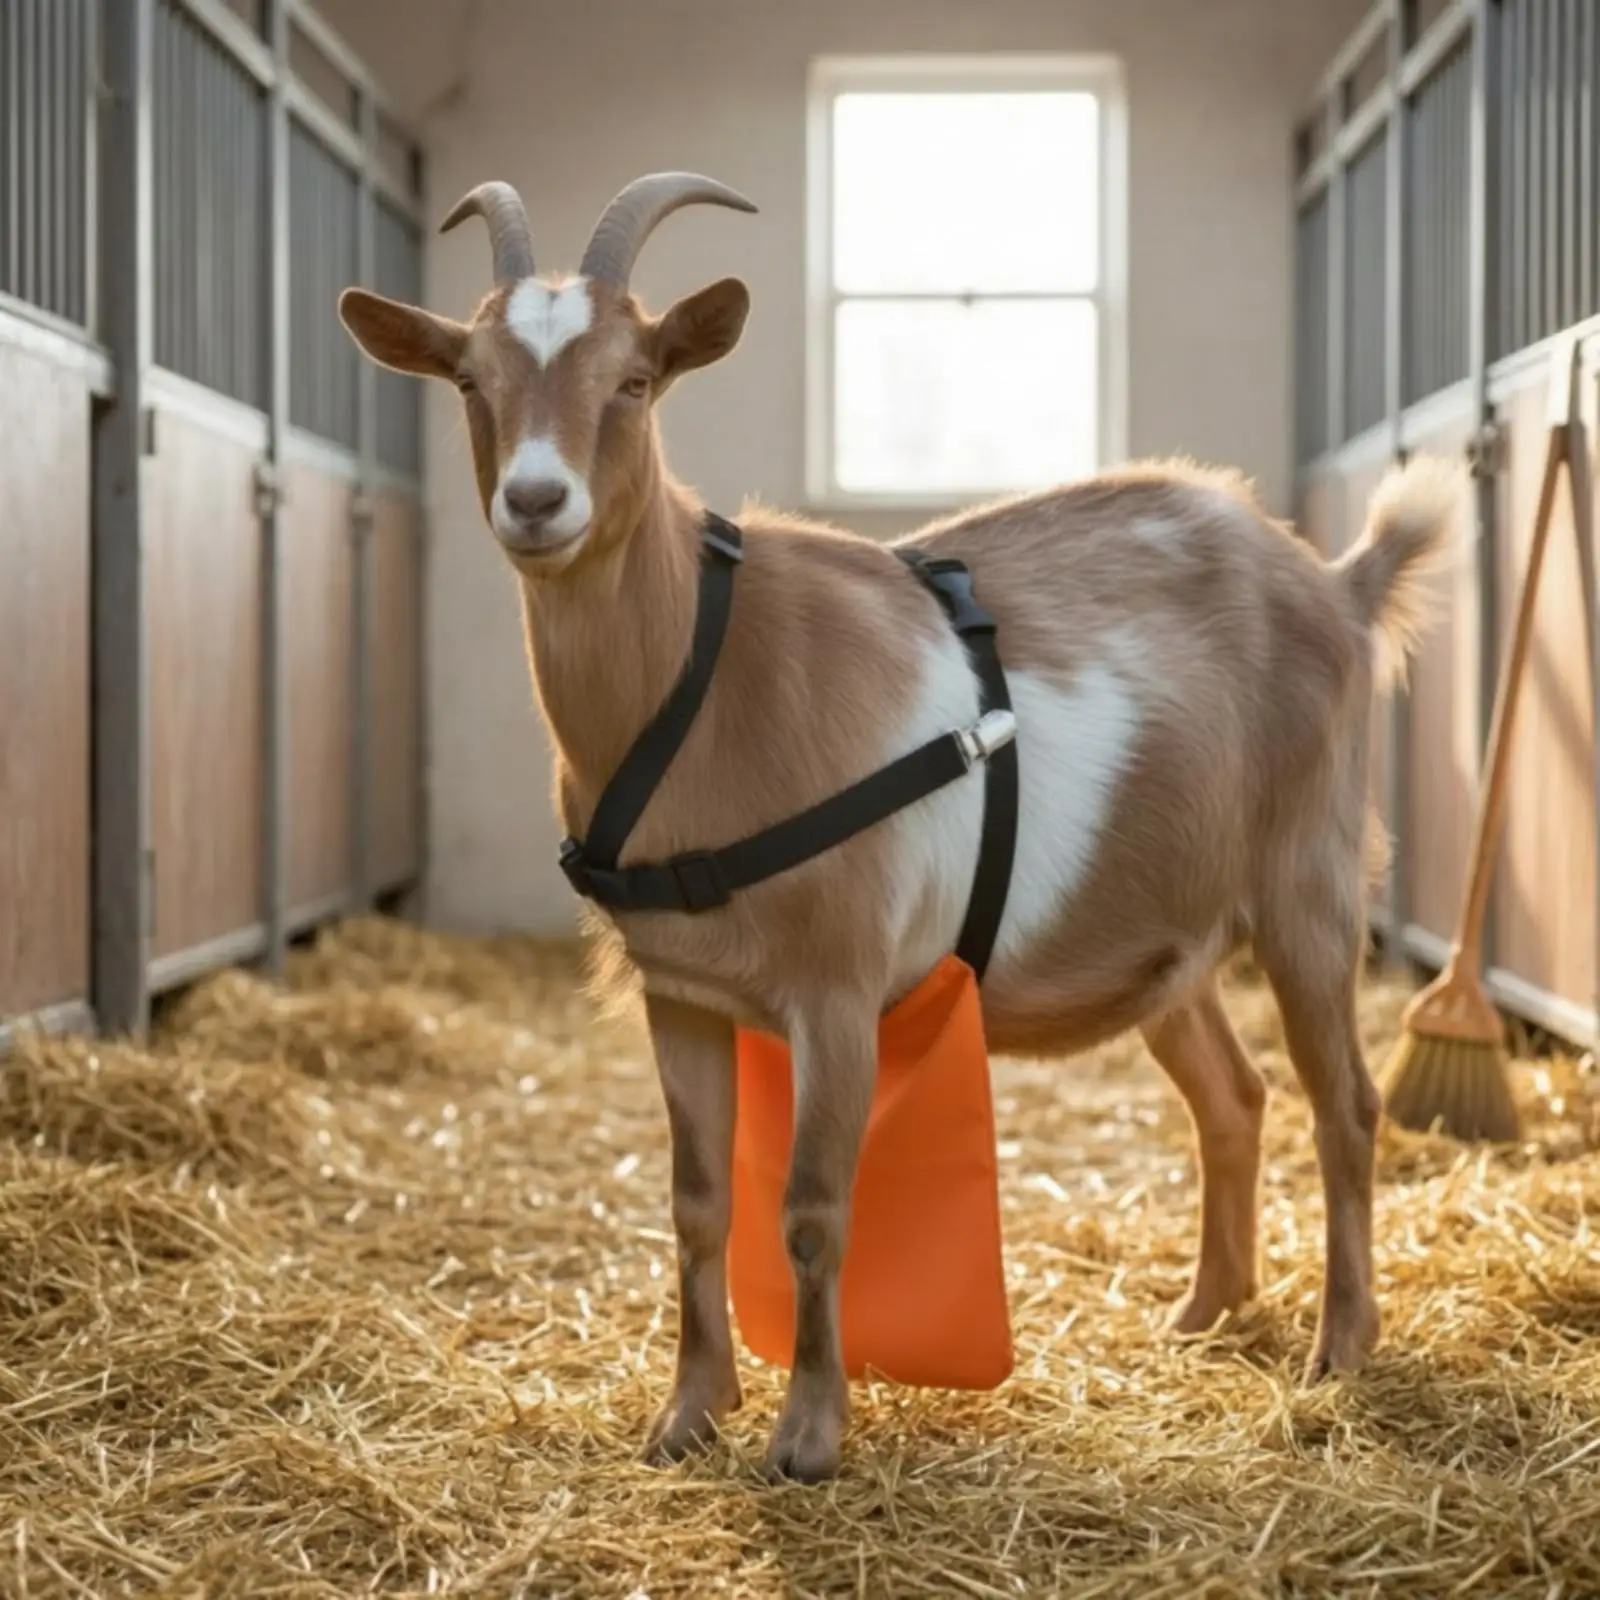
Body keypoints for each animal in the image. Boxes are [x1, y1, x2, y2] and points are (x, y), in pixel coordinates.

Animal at [338, 171, 1460, 1484]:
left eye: (635, 378)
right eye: (470, 378)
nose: (534, 500)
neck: (705, 675)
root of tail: (1335, 582)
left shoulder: (836, 986)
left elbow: (814, 1210)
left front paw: (807, 1436)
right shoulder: (678, 992)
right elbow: (697, 1201)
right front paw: (687, 1414)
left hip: (1307, 884)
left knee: (1347, 1104)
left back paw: (1339, 1345)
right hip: (1169, 937)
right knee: (1232, 1098)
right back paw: (1202, 1313)